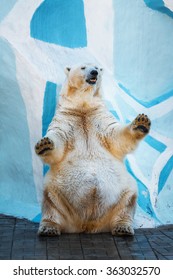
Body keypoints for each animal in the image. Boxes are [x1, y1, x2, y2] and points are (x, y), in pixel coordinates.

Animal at [34, 63, 150, 236]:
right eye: (83, 67)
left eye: (97, 67)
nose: (94, 72)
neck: (83, 108)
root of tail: (87, 224)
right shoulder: (65, 119)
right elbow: (58, 139)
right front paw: (44, 145)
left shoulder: (100, 118)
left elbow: (116, 136)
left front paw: (141, 123)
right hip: (57, 190)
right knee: (50, 202)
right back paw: (49, 228)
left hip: (122, 190)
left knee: (127, 201)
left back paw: (122, 227)